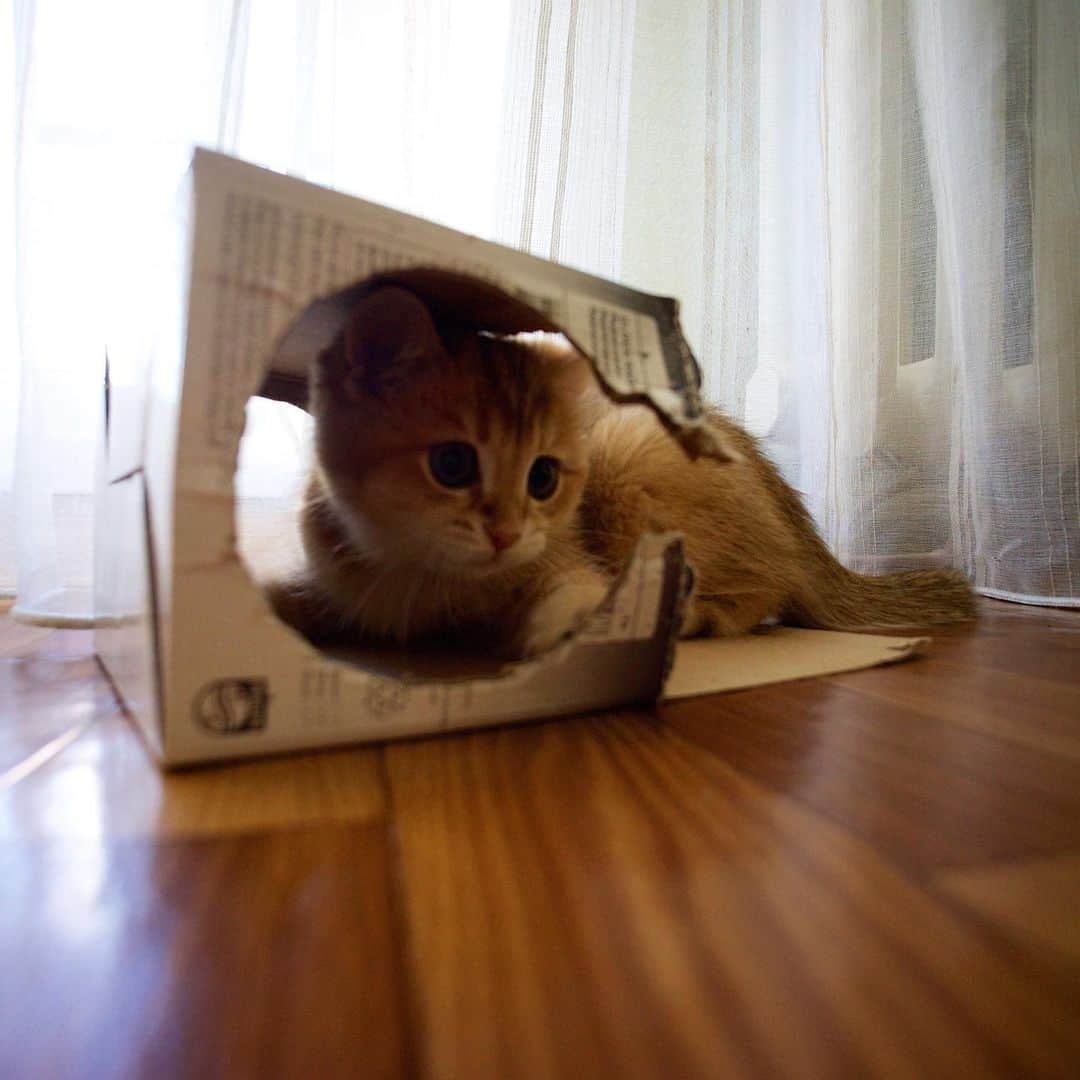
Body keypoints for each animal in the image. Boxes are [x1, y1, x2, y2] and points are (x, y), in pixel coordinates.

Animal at [265, 287, 976, 652]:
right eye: (451, 463)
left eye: (542, 478)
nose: (503, 531)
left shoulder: (564, 560)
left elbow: (567, 596)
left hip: (630, 464)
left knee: (764, 592)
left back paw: (688, 614)